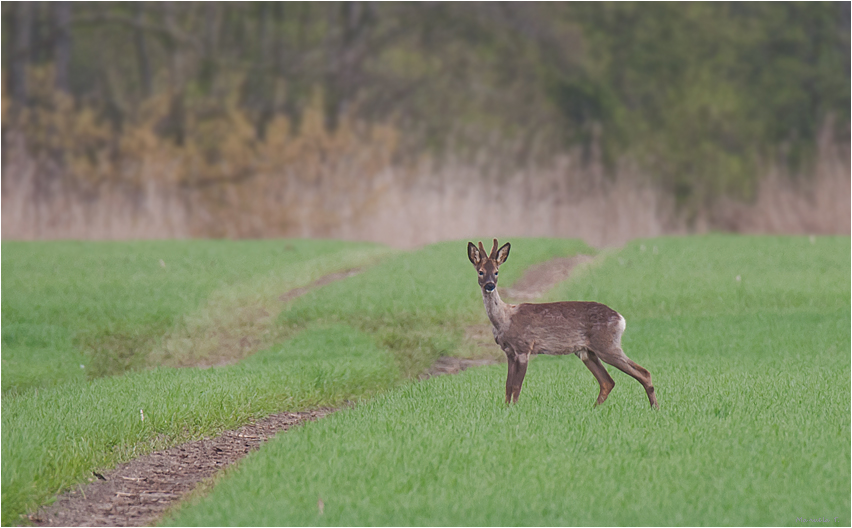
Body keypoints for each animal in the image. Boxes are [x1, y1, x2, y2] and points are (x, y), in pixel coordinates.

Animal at [466, 239, 660, 408]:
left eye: (496, 271)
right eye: (480, 271)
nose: (490, 285)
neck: (504, 319)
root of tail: (620, 318)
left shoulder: (524, 347)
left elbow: (516, 386)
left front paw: (514, 409)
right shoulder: (509, 352)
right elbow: (507, 386)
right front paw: (506, 409)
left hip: (607, 345)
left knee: (643, 373)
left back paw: (655, 408)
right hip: (587, 352)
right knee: (608, 381)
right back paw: (593, 409)